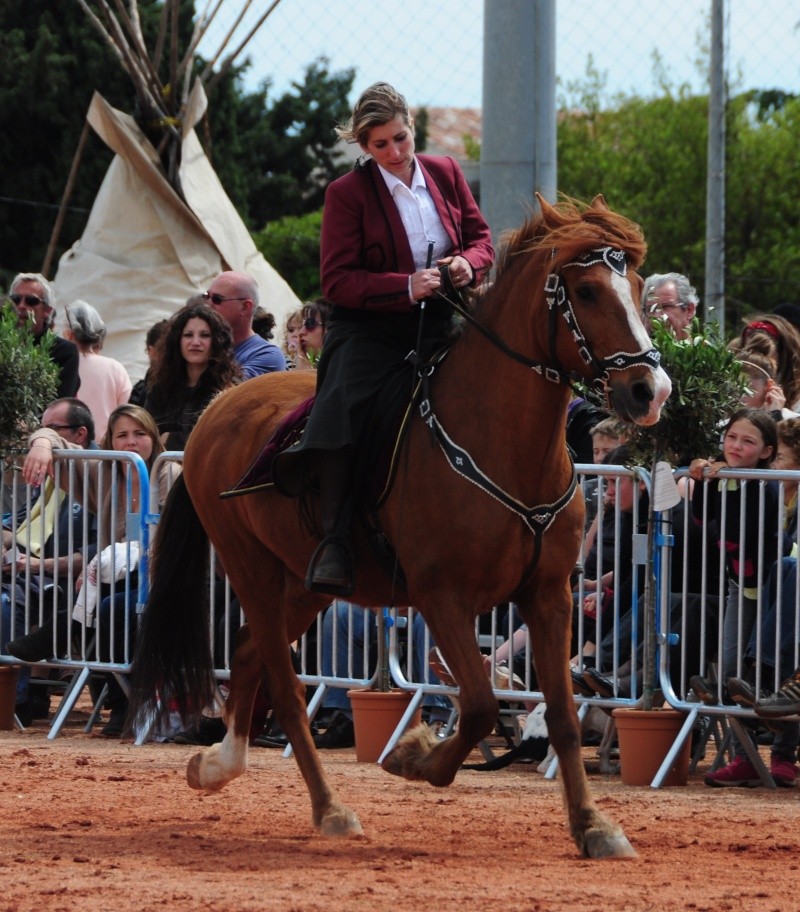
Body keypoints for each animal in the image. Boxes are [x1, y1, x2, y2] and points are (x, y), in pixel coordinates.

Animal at [130, 196, 668, 860]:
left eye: (639, 288)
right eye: (588, 291)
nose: (650, 390)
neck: (503, 446)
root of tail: (216, 408)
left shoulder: (550, 597)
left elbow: (563, 719)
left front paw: (594, 827)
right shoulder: (444, 598)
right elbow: (481, 706)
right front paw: (414, 757)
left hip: (306, 584)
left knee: (251, 651)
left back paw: (218, 764)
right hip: (250, 566)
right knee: (284, 686)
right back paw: (329, 808)